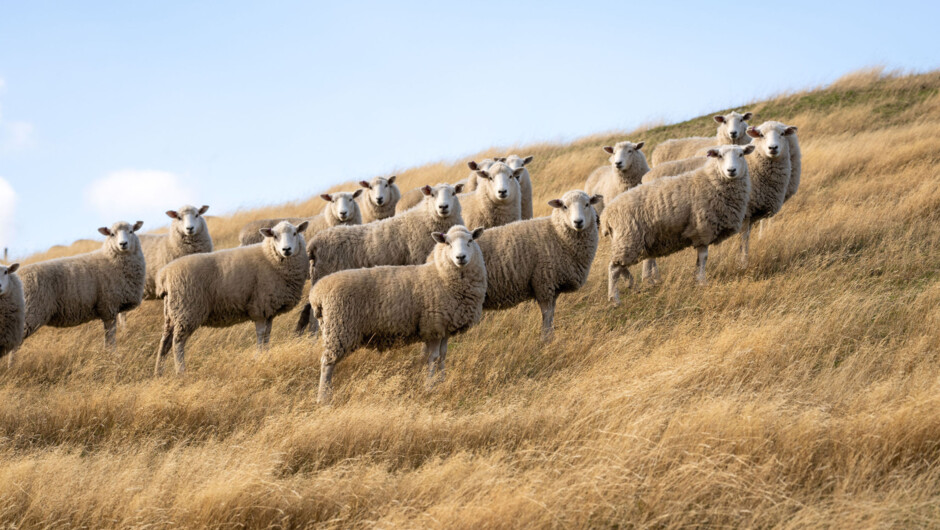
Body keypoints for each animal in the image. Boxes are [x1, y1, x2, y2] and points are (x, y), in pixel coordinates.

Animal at [20, 221, 146, 349]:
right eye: (112, 234)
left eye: (131, 231)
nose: (123, 244)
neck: (110, 259)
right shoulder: (108, 307)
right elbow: (110, 338)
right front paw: (111, 353)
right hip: (30, 312)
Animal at [154, 220, 309, 375]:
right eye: (275, 236)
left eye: (295, 233)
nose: (286, 249)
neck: (269, 257)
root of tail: (164, 276)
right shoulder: (259, 307)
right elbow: (261, 333)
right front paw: (260, 357)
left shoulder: (268, 310)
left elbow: (267, 334)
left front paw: (267, 355)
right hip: (187, 310)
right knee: (177, 342)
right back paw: (181, 371)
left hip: (173, 312)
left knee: (165, 342)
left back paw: (158, 372)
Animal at [310, 225, 487, 405]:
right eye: (448, 243)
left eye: (470, 240)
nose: (461, 257)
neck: (441, 275)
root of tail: (317, 293)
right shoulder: (433, 326)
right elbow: (434, 357)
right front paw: (430, 386)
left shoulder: (444, 328)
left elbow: (443, 356)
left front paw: (441, 381)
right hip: (339, 328)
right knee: (327, 362)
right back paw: (323, 397)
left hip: (333, 328)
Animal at [474, 190, 601, 341]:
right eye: (564, 206)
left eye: (587, 204)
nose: (578, 222)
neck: (556, 234)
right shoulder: (544, 284)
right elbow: (547, 315)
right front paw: (546, 339)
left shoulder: (553, 287)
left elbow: (551, 315)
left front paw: (550, 337)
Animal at [602, 145, 756, 305]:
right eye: (719, 156)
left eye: (741, 154)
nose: (731, 170)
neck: (711, 181)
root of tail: (606, 214)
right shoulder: (703, 229)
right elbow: (703, 258)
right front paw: (702, 281)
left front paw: (697, 279)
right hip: (628, 238)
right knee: (614, 268)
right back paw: (614, 299)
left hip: (626, 241)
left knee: (621, 266)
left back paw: (633, 285)